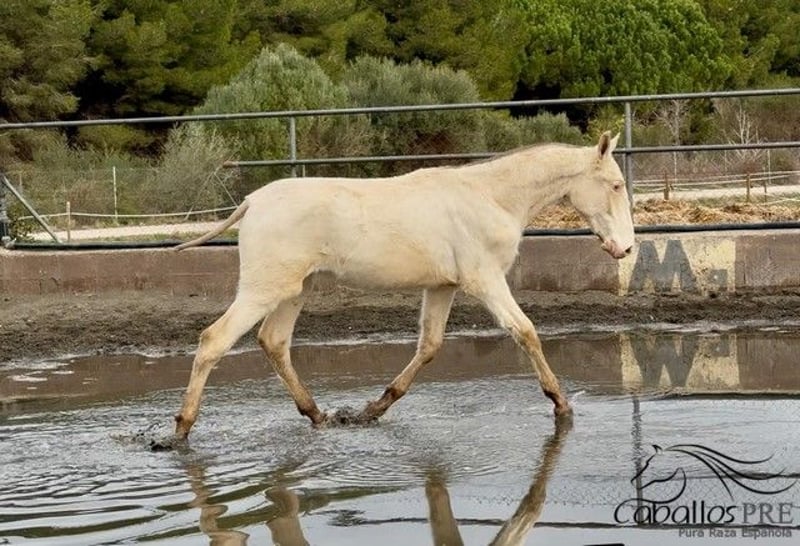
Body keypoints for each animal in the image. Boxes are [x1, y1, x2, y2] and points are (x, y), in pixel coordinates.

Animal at [172, 131, 634, 438]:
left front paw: (371, 411)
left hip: (294, 291)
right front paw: (560, 404)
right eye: (615, 184)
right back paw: (179, 431)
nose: (626, 248)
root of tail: (251, 203)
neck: (491, 196)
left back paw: (319, 415)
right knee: (214, 340)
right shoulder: (485, 280)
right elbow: (525, 332)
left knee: (274, 342)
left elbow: (428, 347)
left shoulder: (442, 287)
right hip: (263, 290)